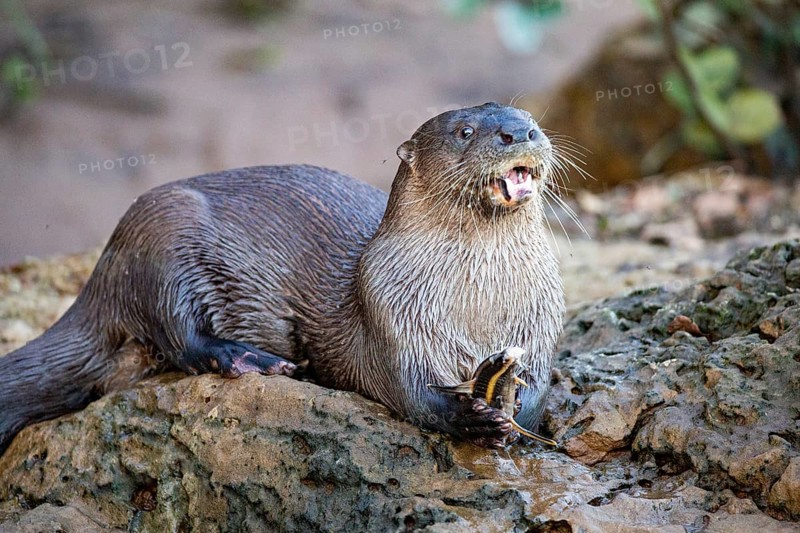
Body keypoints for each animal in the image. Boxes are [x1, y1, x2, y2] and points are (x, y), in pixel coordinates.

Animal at [0, 103, 564, 451]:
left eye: (531, 120)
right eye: (464, 132)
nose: (519, 132)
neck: (476, 302)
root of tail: (101, 272)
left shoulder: (541, 319)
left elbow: (539, 389)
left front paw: (513, 412)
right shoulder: (391, 315)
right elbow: (413, 396)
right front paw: (473, 417)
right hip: (161, 234)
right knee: (177, 334)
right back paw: (252, 359)